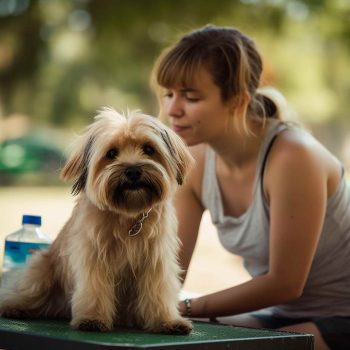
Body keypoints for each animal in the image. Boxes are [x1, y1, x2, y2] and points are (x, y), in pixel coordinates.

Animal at [0, 108, 193, 334]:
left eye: (148, 149)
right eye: (111, 153)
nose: (133, 171)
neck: (128, 216)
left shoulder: (156, 262)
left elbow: (159, 292)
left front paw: (166, 321)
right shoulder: (94, 258)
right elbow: (95, 290)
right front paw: (92, 318)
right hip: (39, 271)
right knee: (23, 292)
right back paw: (14, 306)